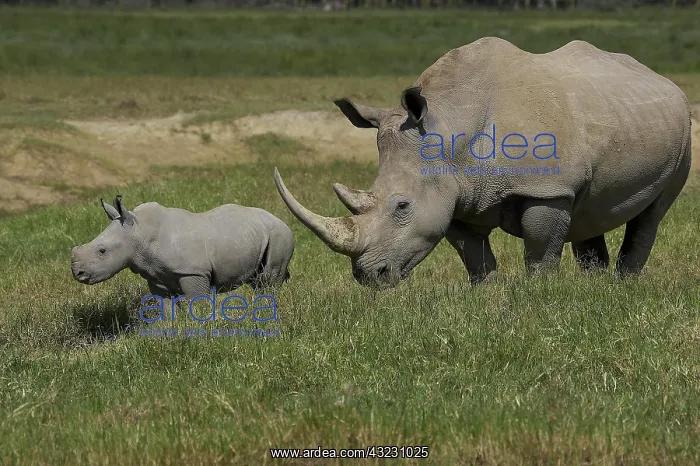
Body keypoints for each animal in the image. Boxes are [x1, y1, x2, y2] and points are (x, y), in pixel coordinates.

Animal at [71, 195, 295, 298]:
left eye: (102, 251)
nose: (77, 273)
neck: (139, 232)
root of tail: (280, 220)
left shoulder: (192, 271)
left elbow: (198, 301)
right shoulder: (155, 275)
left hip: (280, 234)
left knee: (269, 278)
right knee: (258, 279)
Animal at [274, 37, 692, 288]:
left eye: (402, 206)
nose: (368, 276)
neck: (447, 124)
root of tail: (658, 77)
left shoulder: (547, 188)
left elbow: (541, 251)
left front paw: (540, 295)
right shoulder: (457, 192)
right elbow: (473, 254)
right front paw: (485, 294)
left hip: (684, 129)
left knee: (652, 213)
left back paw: (624, 285)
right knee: (590, 209)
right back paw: (595, 287)